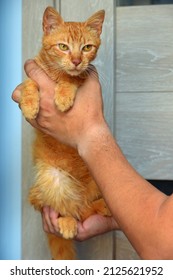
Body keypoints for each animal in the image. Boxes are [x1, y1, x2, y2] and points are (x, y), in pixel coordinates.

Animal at [20, 7, 110, 260]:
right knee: (67, 207)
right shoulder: (30, 77)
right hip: (52, 178)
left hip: (97, 179)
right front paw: (30, 104)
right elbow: (28, 85)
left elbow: (73, 78)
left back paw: (102, 208)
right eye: (63, 46)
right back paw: (68, 222)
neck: (55, 73)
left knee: (84, 209)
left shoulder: (84, 76)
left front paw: (63, 94)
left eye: (87, 48)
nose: (77, 61)